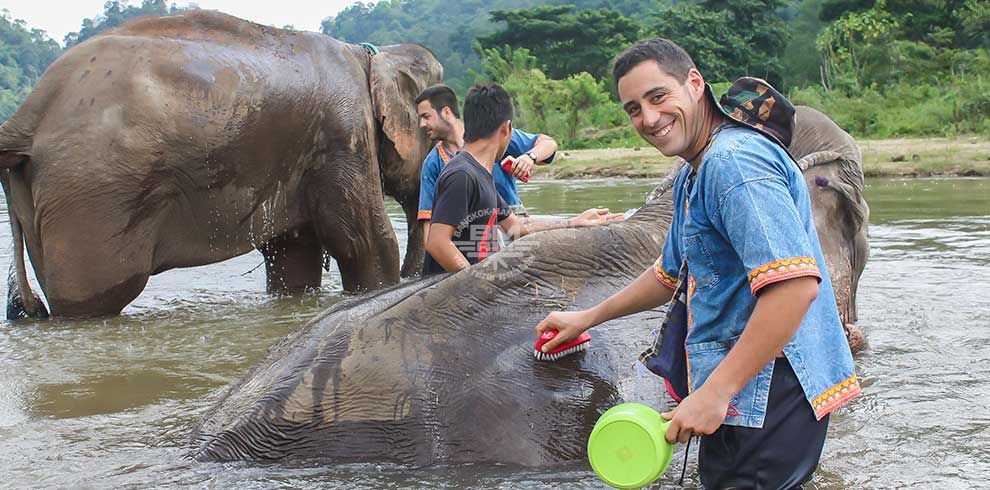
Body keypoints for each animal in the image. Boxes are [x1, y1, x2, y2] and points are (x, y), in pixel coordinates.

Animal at [0, 11, 442, 320]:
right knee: (98, 295)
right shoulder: (342, 135)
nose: (416, 276)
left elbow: (294, 256)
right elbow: (365, 244)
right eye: (433, 138)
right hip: (94, 191)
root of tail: (26, 116)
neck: (369, 54)